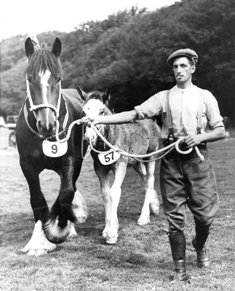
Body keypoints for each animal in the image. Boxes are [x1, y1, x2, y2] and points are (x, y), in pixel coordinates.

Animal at [15, 36, 87, 256]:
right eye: (30, 78)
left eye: (58, 76)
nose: (47, 125)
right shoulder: (27, 166)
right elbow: (38, 201)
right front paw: (38, 242)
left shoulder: (69, 161)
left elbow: (66, 193)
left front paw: (60, 227)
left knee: (71, 187)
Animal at [79, 90, 162, 245]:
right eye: (83, 111)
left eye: (102, 111)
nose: (88, 138)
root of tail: (151, 121)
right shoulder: (100, 168)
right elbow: (105, 194)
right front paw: (107, 229)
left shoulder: (120, 165)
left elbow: (114, 192)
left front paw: (112, 234)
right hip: (135, 162)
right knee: (145, 178)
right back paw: (154, 205)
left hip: (151, 156)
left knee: (150, 180)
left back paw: (144, 217)